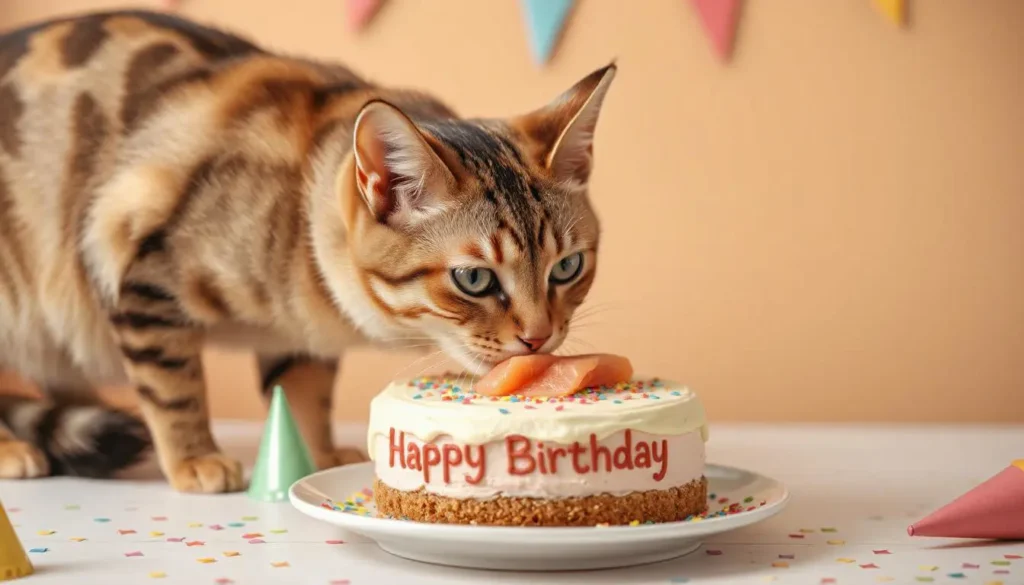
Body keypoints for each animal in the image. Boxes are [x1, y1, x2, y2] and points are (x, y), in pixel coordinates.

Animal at [0, 10, 610, 493]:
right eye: (475, 279)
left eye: (568, 267)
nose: (539, 338)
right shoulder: (145, 272)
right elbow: (175, 387)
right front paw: (196, 458)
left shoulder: (300, 340)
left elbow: (303, 398)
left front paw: (317, 454)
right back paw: (15, 449)